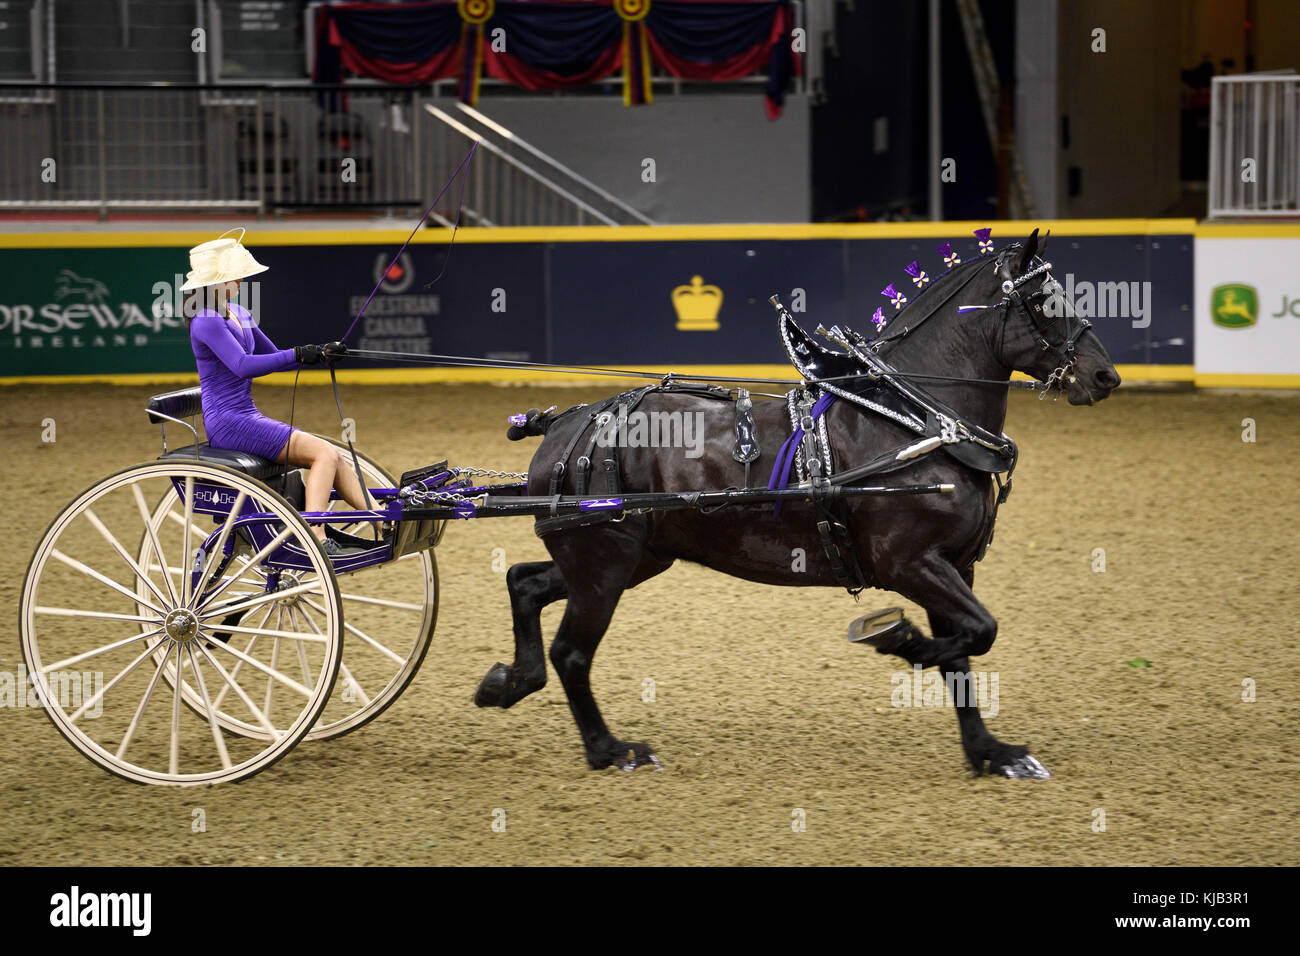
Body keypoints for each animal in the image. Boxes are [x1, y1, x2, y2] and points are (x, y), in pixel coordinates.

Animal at [473, 230, 1123, 780]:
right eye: (1044, 301)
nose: (1105, 377)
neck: (917, 422)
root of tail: (566, 424)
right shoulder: (911, 563)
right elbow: (977, 633)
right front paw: (897, 638)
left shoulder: (954, 566)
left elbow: (965, 654)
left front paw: (992, 753)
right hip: (604, 564)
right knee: (571, 652)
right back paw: (610, 749)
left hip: (628, 558)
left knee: (524, 582)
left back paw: (509, 681)